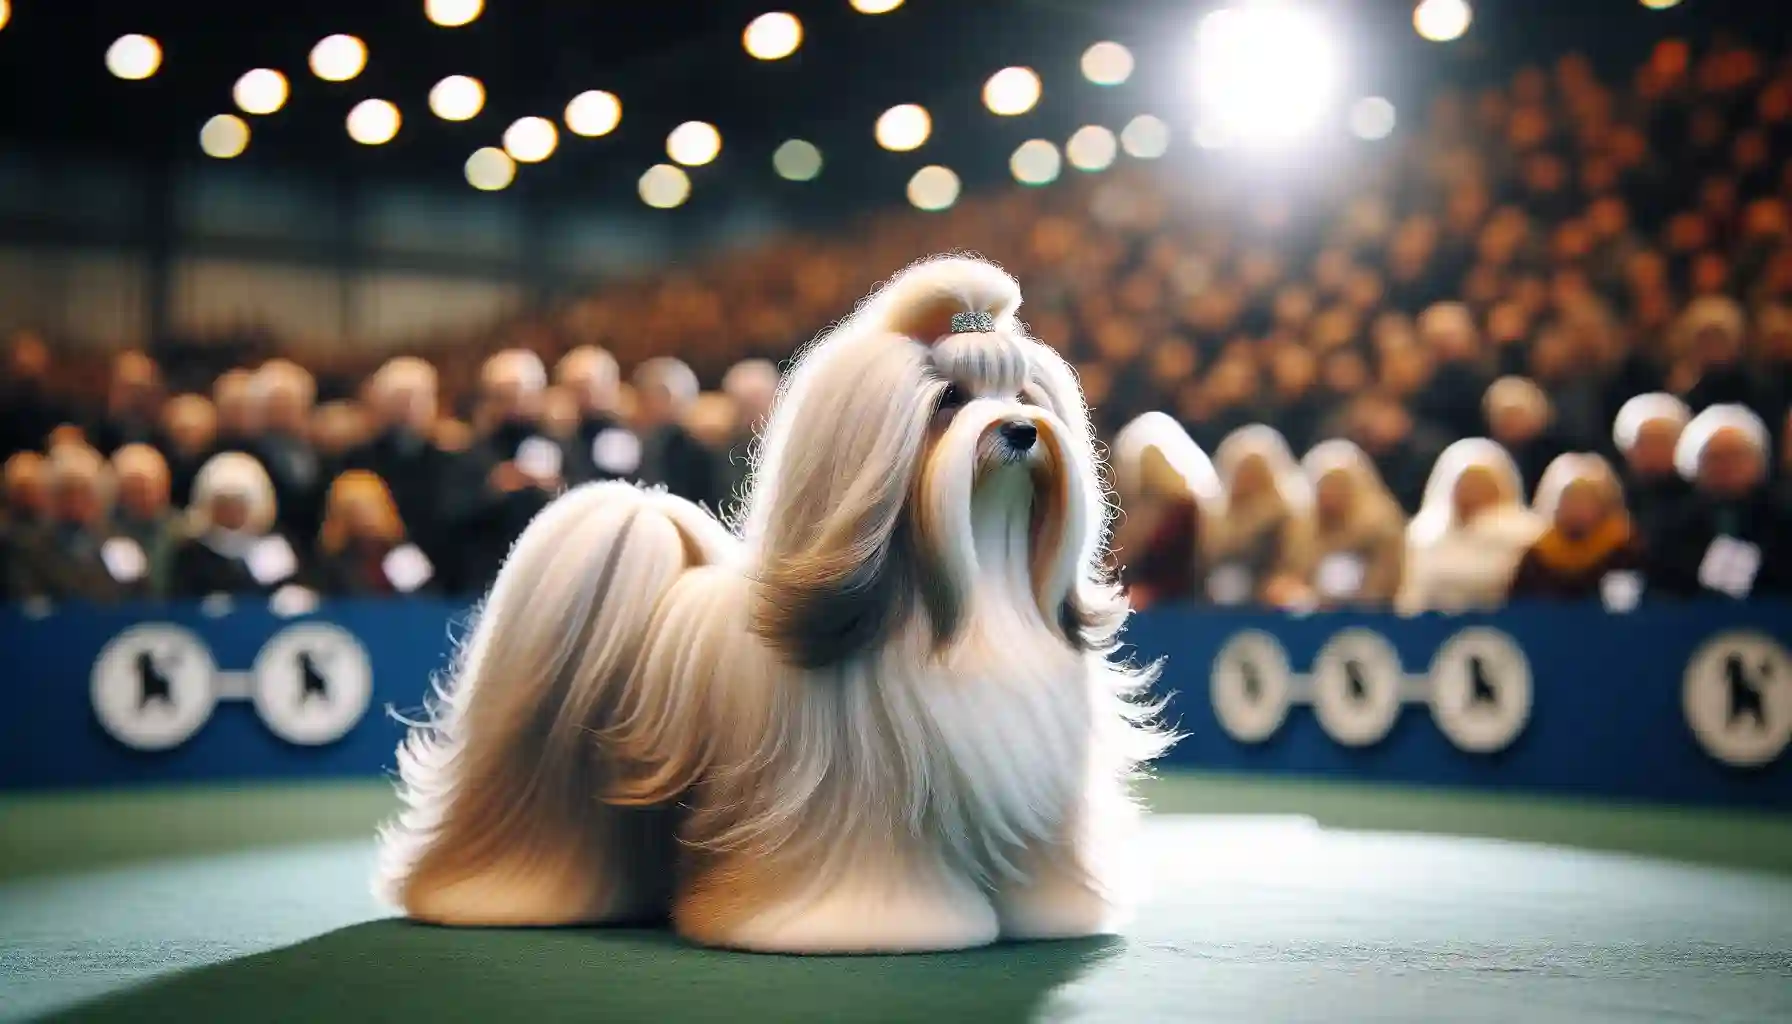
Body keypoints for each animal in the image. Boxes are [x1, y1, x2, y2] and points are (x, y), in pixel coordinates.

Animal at [374, 254, 1175, 954]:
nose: (1020, 431)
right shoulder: (861, 807)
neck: (970, 589)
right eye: (949, 400)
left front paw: (1053, 913)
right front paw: (882, 929)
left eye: (1025, 395)